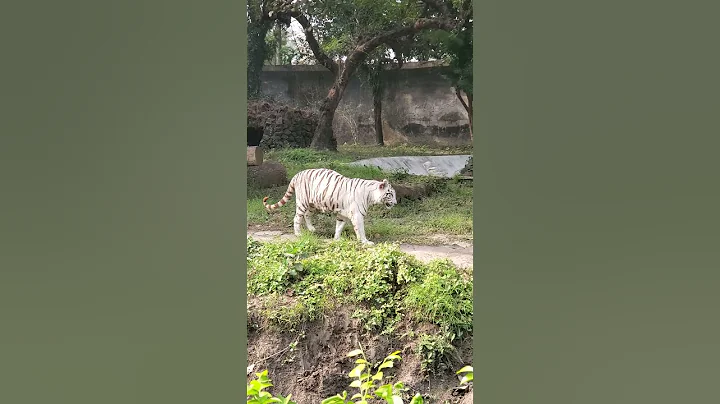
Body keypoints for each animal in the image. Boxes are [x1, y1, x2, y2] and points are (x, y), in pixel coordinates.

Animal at [263, 168, 397, 245]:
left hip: (313, 204)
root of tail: (297, 174)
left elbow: (339, 227)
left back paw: (312, 229)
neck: (370, 196)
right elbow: (360, 229)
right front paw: (365, 241)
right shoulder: (357, 215)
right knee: (297, 217)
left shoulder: (342, 214)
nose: (395, 203)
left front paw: (336, 239)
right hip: (302, 202)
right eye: (390, 194)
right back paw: (298, 234)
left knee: (307, 215)